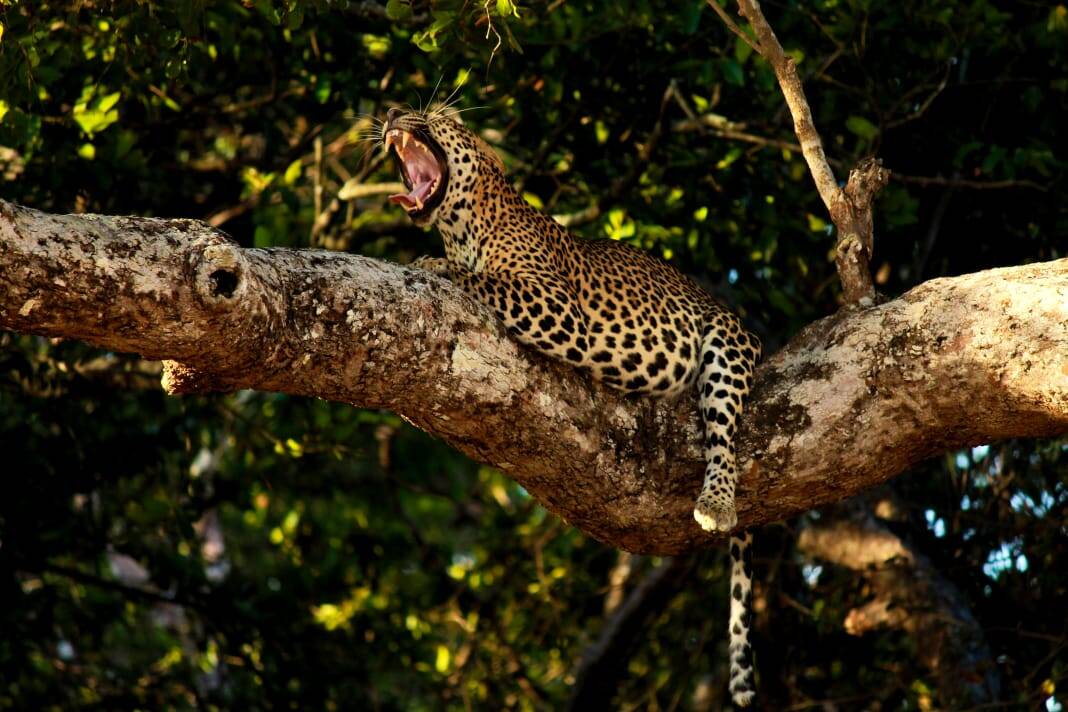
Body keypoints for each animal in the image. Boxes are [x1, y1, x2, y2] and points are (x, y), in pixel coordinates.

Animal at [381, 106, 762, 707]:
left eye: (441, 115)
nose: (396, 112)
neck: (462, 227)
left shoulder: (556, 304)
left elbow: (480, 277)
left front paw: (435, 265)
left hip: (726, 346)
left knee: (724, 437)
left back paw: (716, 501)